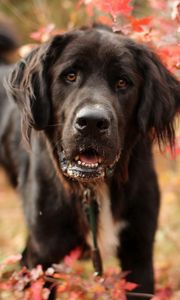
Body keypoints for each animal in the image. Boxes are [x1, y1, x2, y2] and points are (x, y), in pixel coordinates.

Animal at [0, 24, 180, 298]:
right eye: (70, 76)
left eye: (122, 82)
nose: (92, 123)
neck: (92, 188)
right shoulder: (45, 254)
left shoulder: (139, 253)